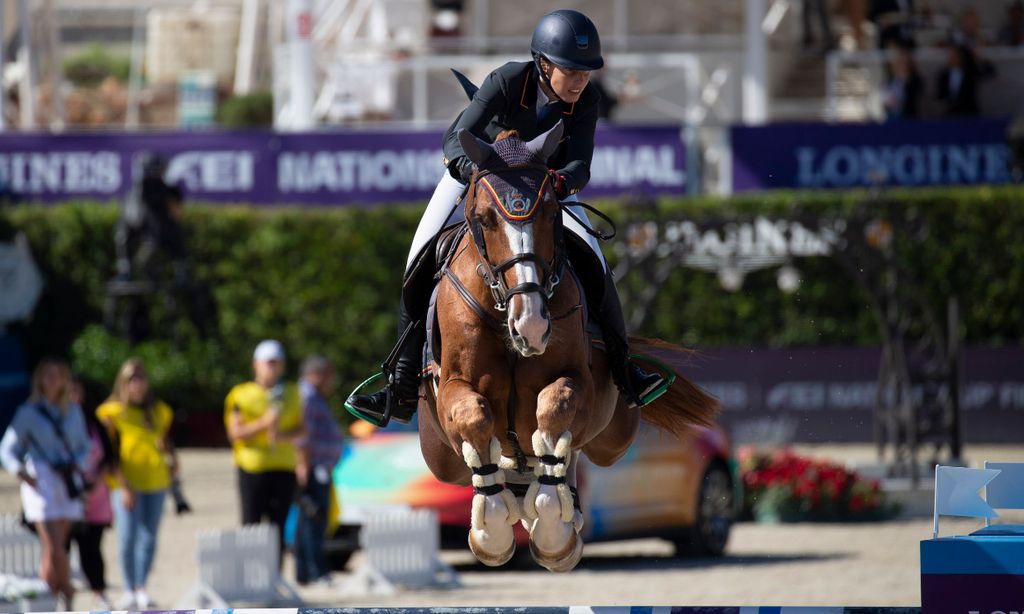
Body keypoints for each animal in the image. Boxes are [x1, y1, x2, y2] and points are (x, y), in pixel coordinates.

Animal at [415, 123, 720, 568]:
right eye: (485, 219)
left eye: (550, 213)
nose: (531, 325)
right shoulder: (453, 386)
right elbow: (474, 417)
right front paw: (492, 532)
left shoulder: (578, 381)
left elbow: (555, 407)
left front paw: (551, 527)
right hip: (438, 456)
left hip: (615, 435)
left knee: (573, 449)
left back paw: (562, 519)